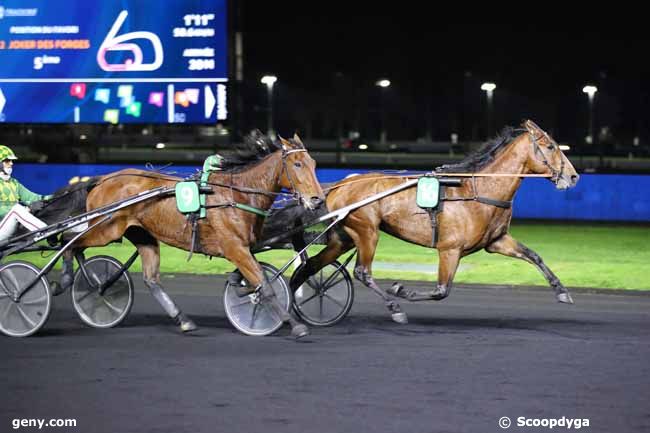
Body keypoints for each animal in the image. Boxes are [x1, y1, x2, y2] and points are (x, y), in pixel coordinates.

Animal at [39, 132, 324, 338]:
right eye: (298, 164)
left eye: (313, 163)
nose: (318, 200)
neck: (237, 195)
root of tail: (102, 179)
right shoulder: (234, 247)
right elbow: (265, 285)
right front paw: (294, 324)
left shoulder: (245, 247)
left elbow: (256, 276)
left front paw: (241, 289)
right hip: (105, 228)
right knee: (69, 242)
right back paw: (67, 281)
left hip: (142, 235)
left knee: (150, 279)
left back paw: (181, 319)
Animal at [288, 120, 576, 322]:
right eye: (551, 147)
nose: (573, 176)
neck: (478, 189)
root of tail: (341, 184)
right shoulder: (450, 249)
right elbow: (441, 290)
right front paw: (400, 290)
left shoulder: (496, 241)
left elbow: (534, 256)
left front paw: (562, 291)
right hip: (367, 231)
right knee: (362, 272)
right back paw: (394, 308)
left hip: (344, 237)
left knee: (311, 266)